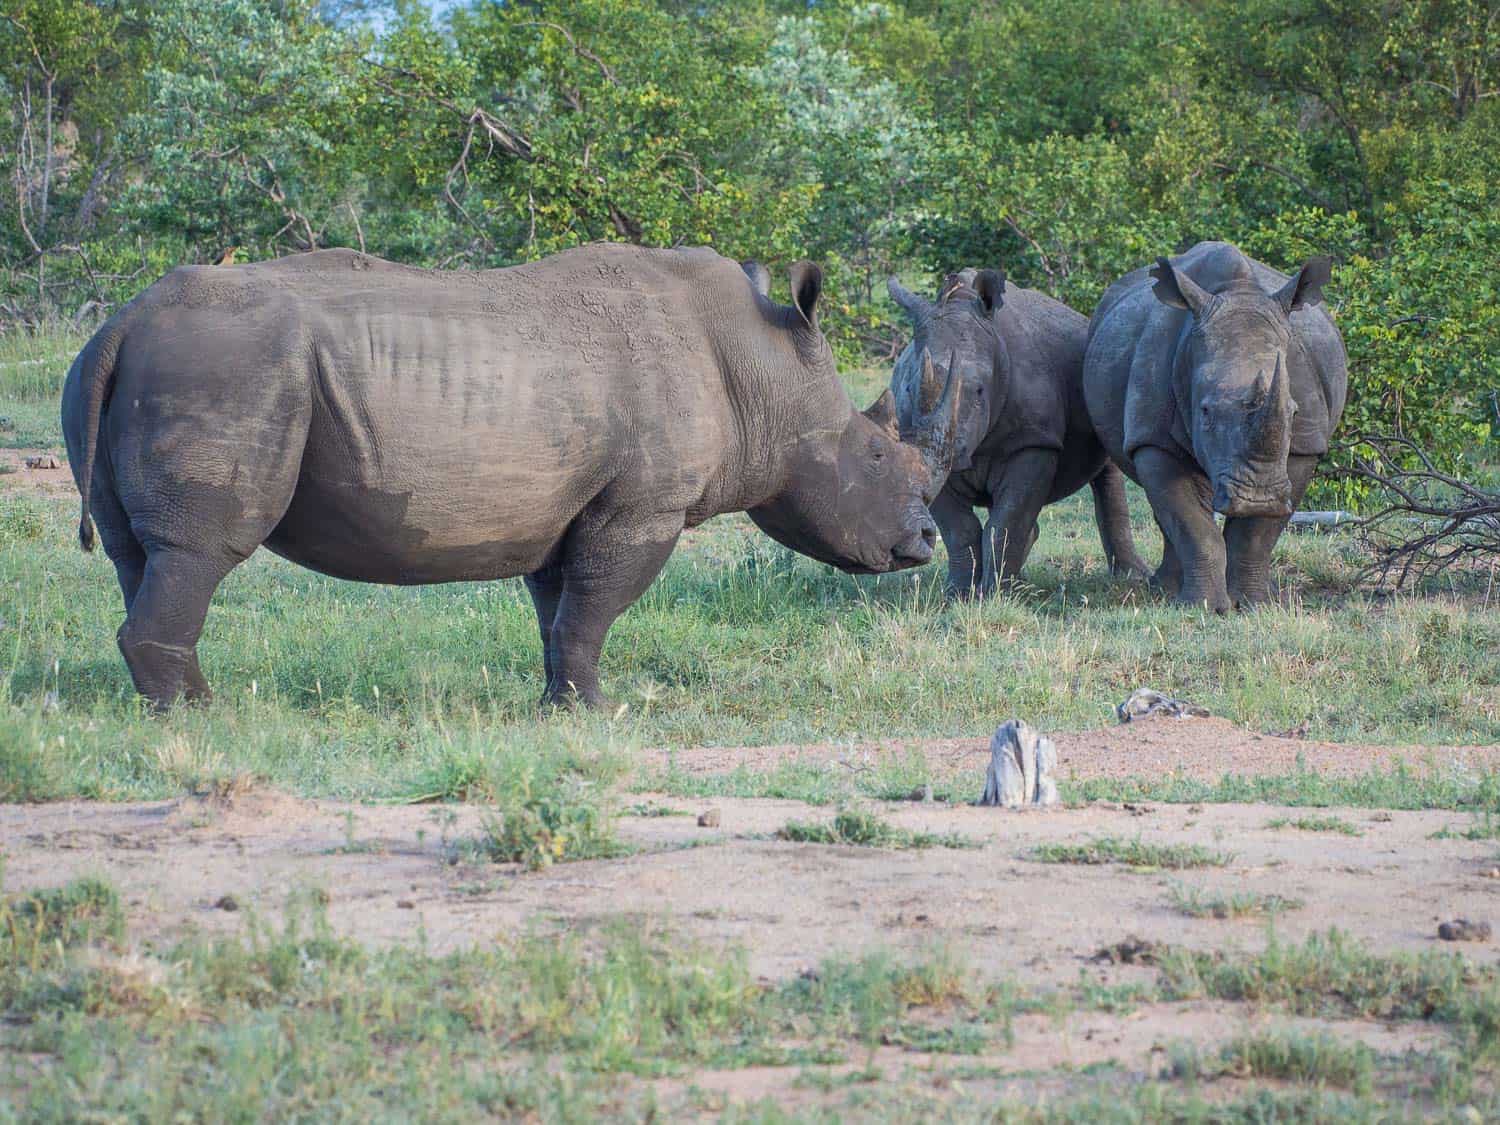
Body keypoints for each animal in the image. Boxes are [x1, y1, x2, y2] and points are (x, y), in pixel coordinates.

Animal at [64, 244, 954, 714]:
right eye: (875, 455)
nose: (924, 540)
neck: (759, 371)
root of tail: (122, 323)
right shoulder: (643, 506)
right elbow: (595, 606)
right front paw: (600, 713)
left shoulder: (567, 506)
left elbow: (560, 613)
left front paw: (560, 706)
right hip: (231, 368)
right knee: (202, 548)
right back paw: (202, 715)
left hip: (128, 367)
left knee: (138, 554)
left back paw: (167, 704)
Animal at [882, 270, 1140, 600]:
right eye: (908, 388)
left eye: (979, 391)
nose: (955, 456)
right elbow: (960, 529)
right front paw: (958, 595)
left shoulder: (1033, 442)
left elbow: (1007, 521)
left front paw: (998, 595)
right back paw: (1019, 580)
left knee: (1106, 473)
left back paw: (1131, 577)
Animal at [1080, 243, 1350, 618]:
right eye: (1205, 411)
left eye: (1293, 412)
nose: (1258, 497)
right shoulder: (1152, 438)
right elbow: (1192, 524)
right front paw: (1203, 607)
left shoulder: (1304, 444)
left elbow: (1255, 535)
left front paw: (1254, 606)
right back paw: (1165, 590)